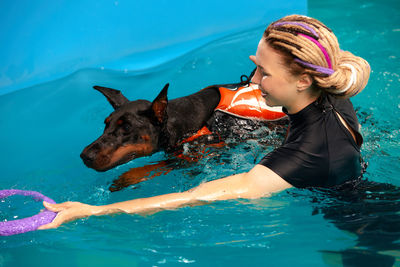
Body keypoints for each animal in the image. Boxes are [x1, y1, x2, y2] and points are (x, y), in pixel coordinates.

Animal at [80, 76, 288, 192]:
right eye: (106, 124)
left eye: (126, 128)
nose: (84, 156)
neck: (178, 120)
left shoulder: (199, 152)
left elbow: (156, 166)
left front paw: (125, 178)